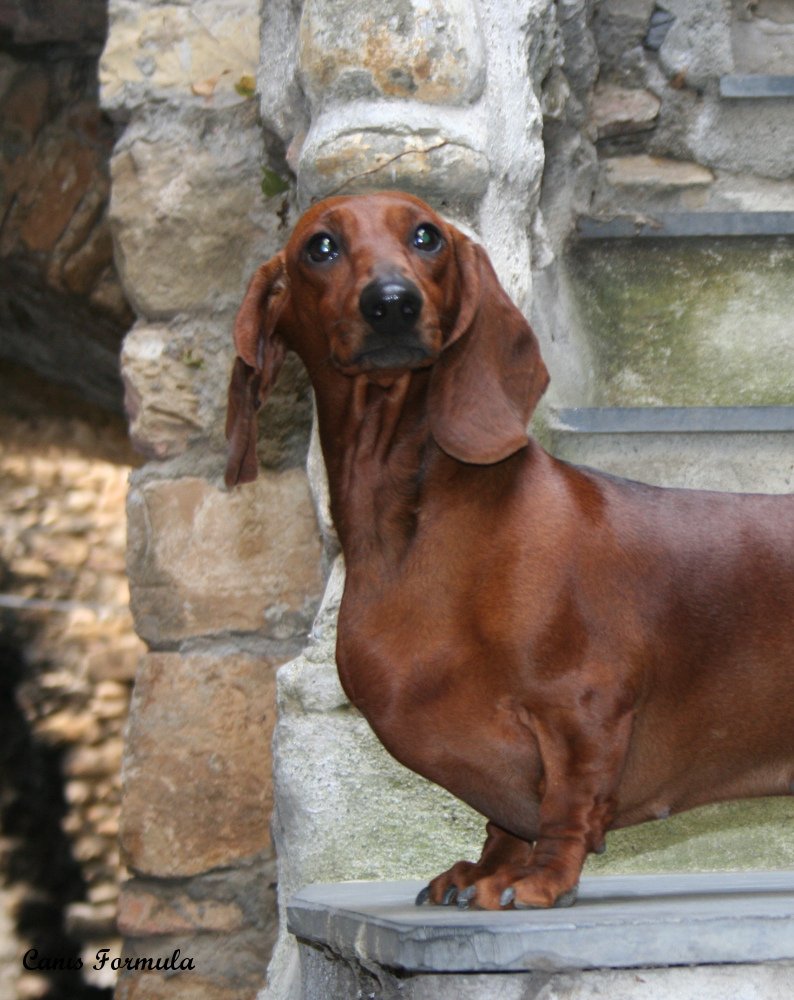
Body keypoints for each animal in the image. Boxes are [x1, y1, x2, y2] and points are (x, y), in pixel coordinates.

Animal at [224, 191, 792, 912]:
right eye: (319, 247)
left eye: (427, 236)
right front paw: (484, 871)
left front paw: (541, 878)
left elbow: (567, 806)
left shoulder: (583, 707)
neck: (415, 525)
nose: (392, 303)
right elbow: (504, 822)